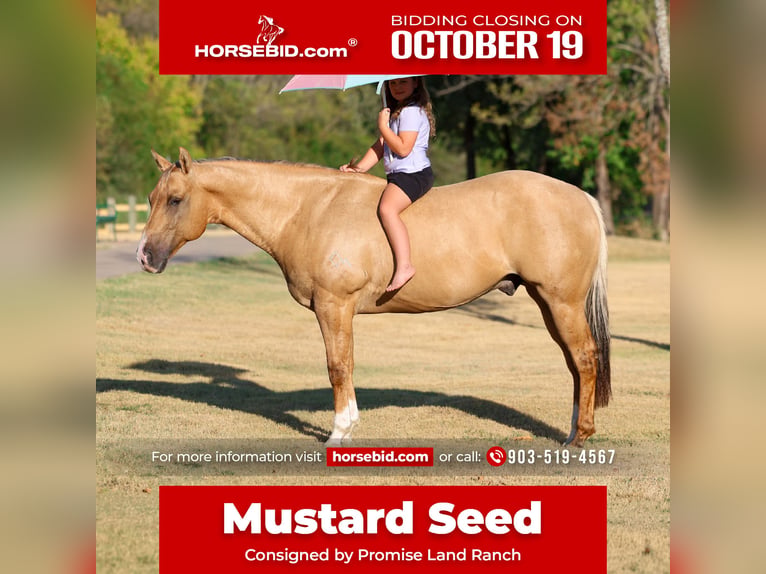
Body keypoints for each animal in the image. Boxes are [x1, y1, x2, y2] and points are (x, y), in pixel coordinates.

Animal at [137, 148, 611, 446]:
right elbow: (344, 366)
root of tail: (581, 197)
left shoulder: (334, 306)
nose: (144, 256)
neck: (309, 209)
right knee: (575, 363)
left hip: (561, 301)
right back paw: (573, 430)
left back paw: (581, 436)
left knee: (585, 358)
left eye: (175, 199)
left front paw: (339, 432)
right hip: (548, 303)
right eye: (151, 198)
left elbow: (338, 367)